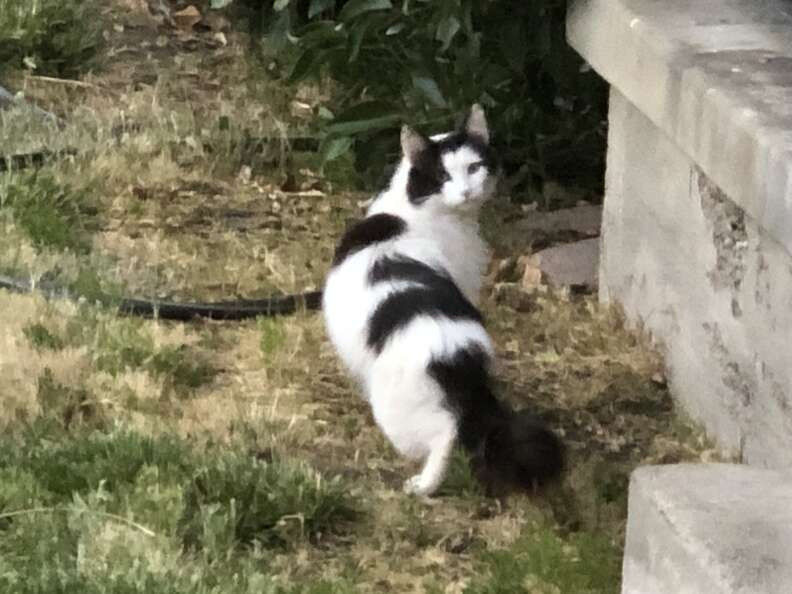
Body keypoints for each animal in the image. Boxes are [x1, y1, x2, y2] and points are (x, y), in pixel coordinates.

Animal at [322, 106, 564, 494]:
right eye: (442, 175)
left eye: (473, 167)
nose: (465, 191)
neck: (414, 208)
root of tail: (455, 349)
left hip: (399, 409)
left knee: (446, 435)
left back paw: (422, 487)